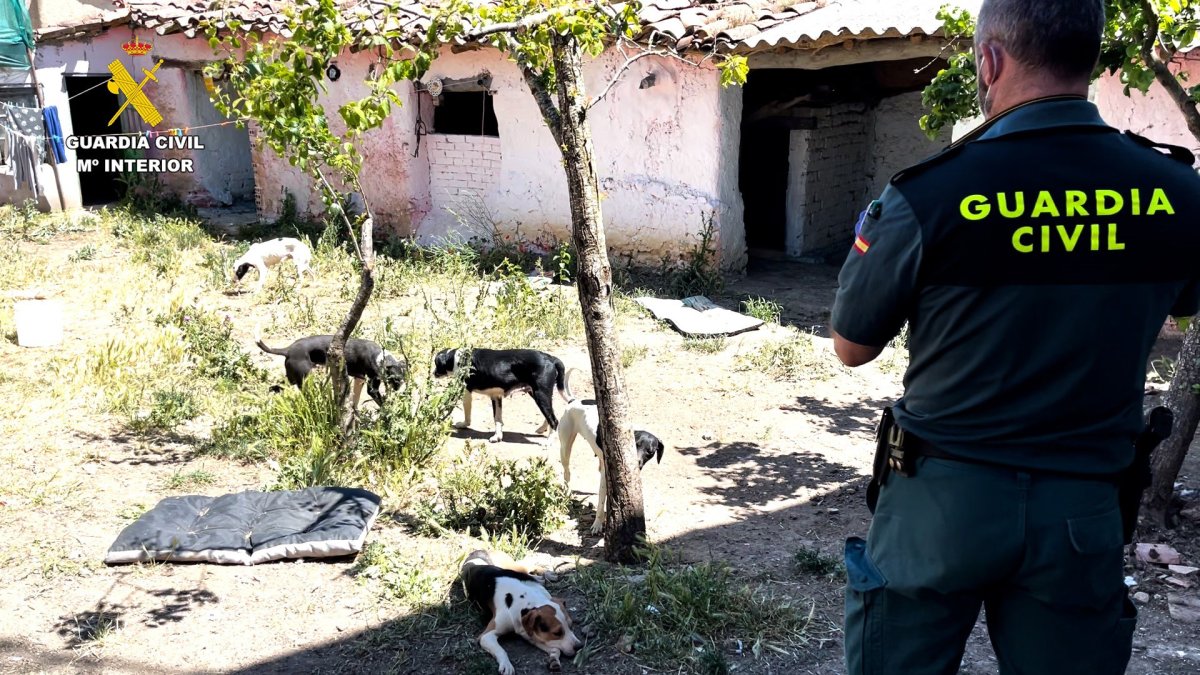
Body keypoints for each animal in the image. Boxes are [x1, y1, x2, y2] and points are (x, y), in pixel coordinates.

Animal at [256, 331, 408, 410]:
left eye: (403, 378)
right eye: (395, 380)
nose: (403, 393)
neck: (381, 358)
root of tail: (288, 350)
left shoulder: (359, 379)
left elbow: (355, 400)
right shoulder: (372, 388)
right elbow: (382, 404)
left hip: (291, 379)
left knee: (273, 388)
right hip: (305, 380)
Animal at [434, 345, 568, 441]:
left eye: (436, 363)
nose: (433, 373)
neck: (456, 358)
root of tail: (550, 358)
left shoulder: (466, 393)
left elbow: (468, 415)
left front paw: (463, 424)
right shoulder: (496, 397)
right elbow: (497, 419)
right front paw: (497, 436)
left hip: (540, 395)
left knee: (554, 420)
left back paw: (549, 441)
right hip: (538, 394)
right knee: (550, 414)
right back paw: (542, 429)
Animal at [554, 367, 667, 530]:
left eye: (650, 452)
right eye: (634, 444)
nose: (636, 463)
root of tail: (573, 401)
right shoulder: (605, 477)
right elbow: (601, 500)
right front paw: (597, 523)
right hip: (565, 448)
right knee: (567, 471)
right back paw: (567, 490)